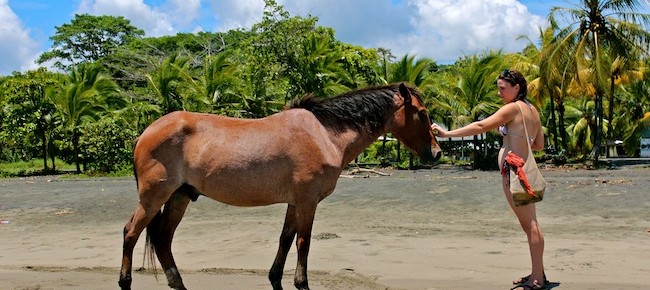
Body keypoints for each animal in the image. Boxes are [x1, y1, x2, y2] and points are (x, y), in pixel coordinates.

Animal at [117, 82, 440, 290]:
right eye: (422, 113)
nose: (436, 153)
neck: (324, 133)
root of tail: (146, 132)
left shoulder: (294, 202)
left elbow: (286, 238)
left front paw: (275, 278)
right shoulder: (307, 201)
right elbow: (303, 242)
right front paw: (302, 283)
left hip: (179, 197)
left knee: (162, 238)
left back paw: (178, 283)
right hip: (154, 197)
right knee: (132, 232)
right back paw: (125, 281)